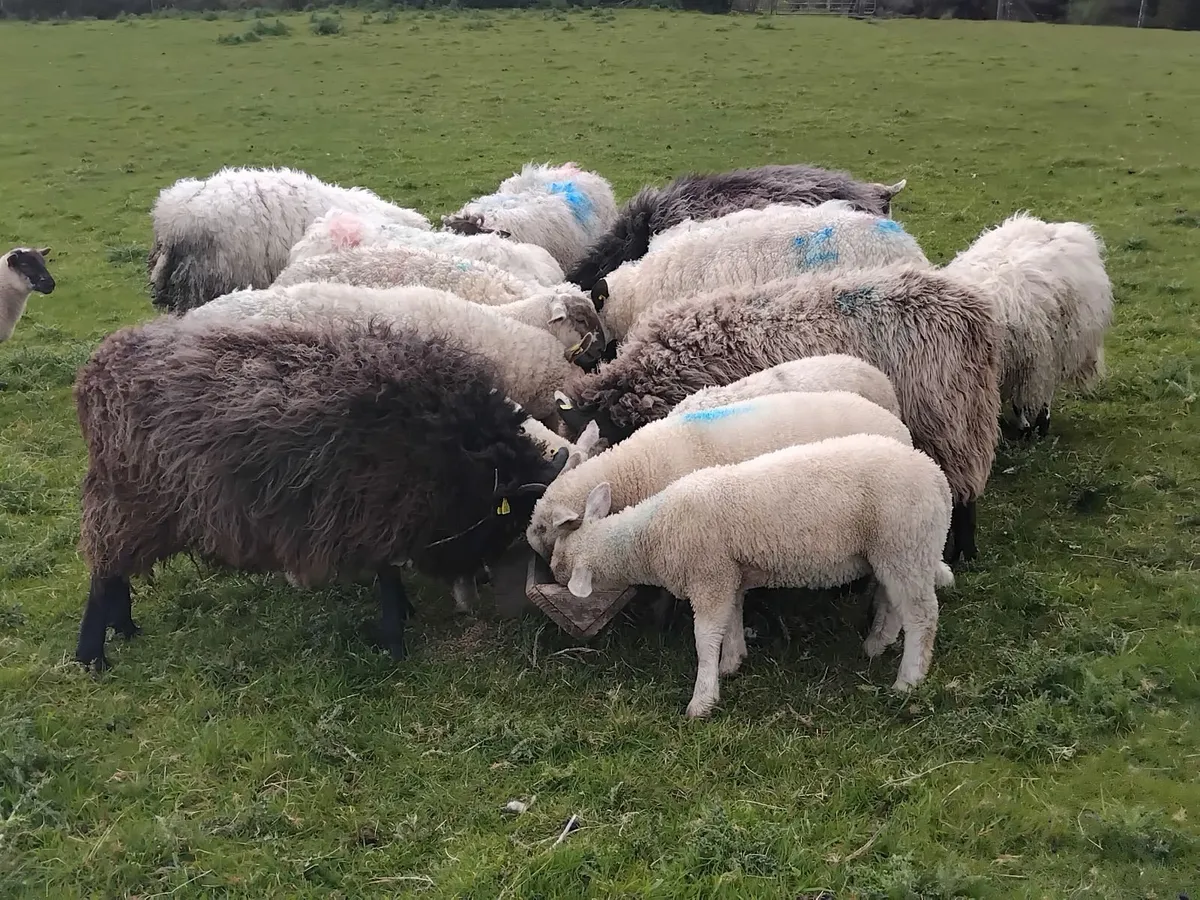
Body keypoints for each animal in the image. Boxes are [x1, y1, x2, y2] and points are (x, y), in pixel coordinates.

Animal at [73, 314, 569, 672]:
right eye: (502, 521)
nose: (483, 579)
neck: (453, 448)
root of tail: (96, 369)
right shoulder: (373, 511)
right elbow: (387, 575)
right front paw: (395, 641)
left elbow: (389, 573)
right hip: (130, 501)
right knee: (103, 572)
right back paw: (94, 654)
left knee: (115, 573)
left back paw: (124, 628)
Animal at [546, 433, 954, 717]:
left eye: (560, 565)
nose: (550, 570)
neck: (653, 532)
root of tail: (938, 479)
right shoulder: (729, 576)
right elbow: (731, 619)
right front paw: (732, 661)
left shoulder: (708, 576)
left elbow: (705, 637)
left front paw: (703, 699)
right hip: (894, 552)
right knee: (895, 602)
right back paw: (877, 643)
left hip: (905, 544)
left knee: (922, 616)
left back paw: (908, 680)